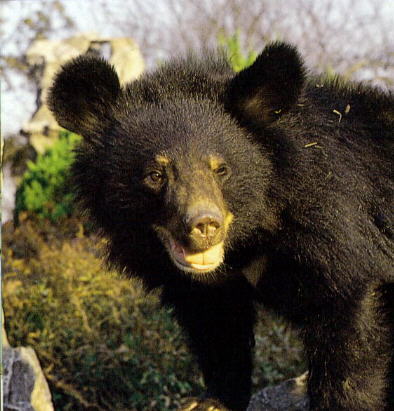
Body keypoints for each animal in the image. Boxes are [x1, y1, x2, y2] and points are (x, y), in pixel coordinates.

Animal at [49, 42, 394, 411]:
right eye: (155, 175)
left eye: (221, 169)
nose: (203, 225)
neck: (252, 234)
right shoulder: (204, 287)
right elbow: (218, 331)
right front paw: (211, 401)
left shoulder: (333, 227)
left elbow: (347, 321)